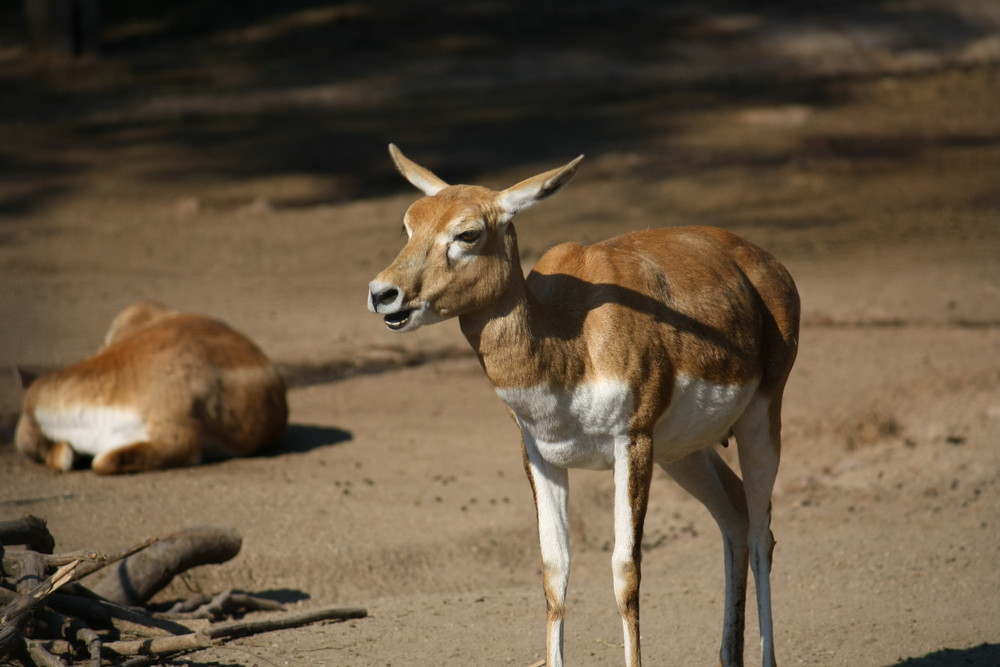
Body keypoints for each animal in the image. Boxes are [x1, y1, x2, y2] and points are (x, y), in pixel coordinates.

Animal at [372, 147, 800, 667]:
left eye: (468, 233)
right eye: (408, 225)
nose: (382, 293)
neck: (569, 342)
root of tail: (762, 261)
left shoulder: (632, 443)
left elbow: (625, 571)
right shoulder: (539, 456)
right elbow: (554, 571)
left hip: (761, 418)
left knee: (761, 532)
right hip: (684, 452)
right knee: (735, 517)